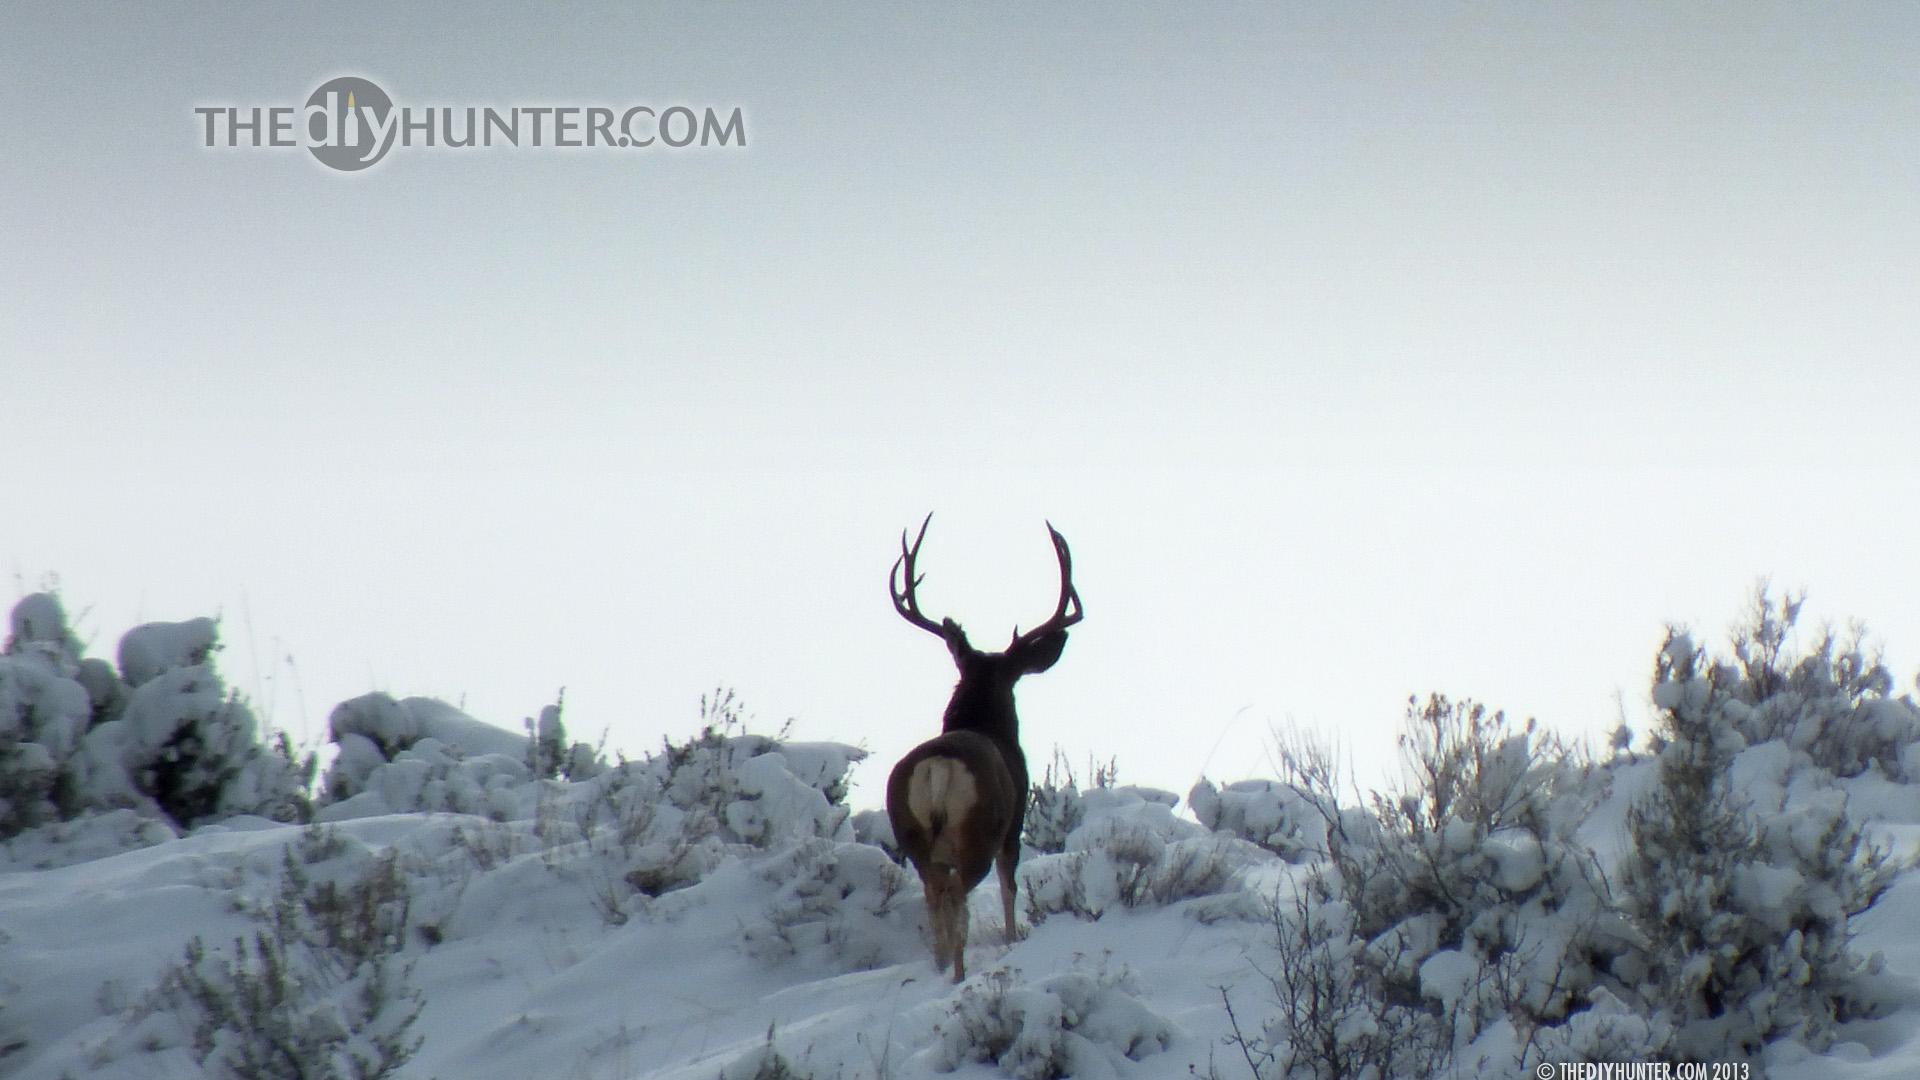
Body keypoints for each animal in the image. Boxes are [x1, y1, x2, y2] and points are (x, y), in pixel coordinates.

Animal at [884, 513, 1083, 982]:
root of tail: (939, 766)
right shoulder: (1015, 823)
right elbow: (1011, 887)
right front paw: (1011, 940)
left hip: (911, 834)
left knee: (934, 894)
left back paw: (941, 967)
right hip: (979, 832)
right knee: (959, 893)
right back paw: (957, 973)